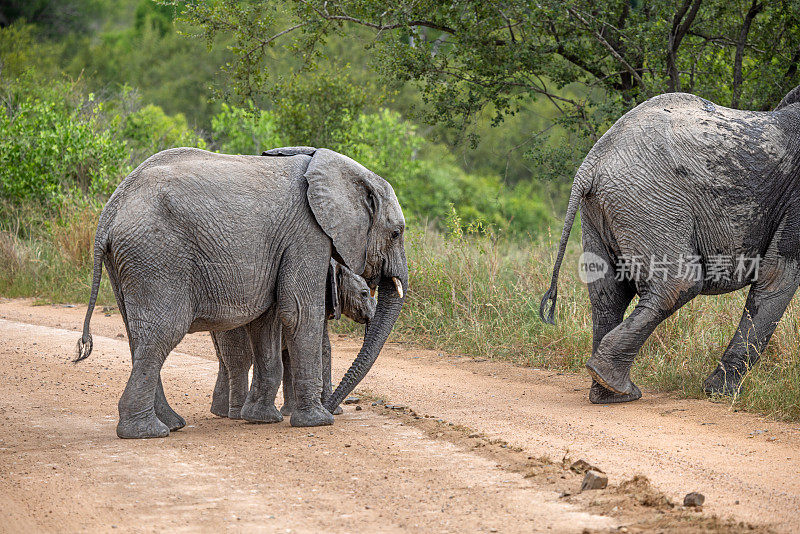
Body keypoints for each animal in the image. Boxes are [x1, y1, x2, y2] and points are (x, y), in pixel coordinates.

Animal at [211, 258, 376, 420]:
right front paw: (335, 412)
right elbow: (323, 348)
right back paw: (237, 415)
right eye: (364, 294)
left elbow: (290, 356)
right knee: (241, 362)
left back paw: (221, 413)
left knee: (225, 362)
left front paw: (289, 412)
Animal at [540, 87, 796, 406]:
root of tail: (591, 163)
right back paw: (617, 387)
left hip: (600, 209)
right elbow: (777, 275)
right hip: (648, 201)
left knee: (608, 294)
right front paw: (720, 394)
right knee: (678, 285)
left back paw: (608, 393)